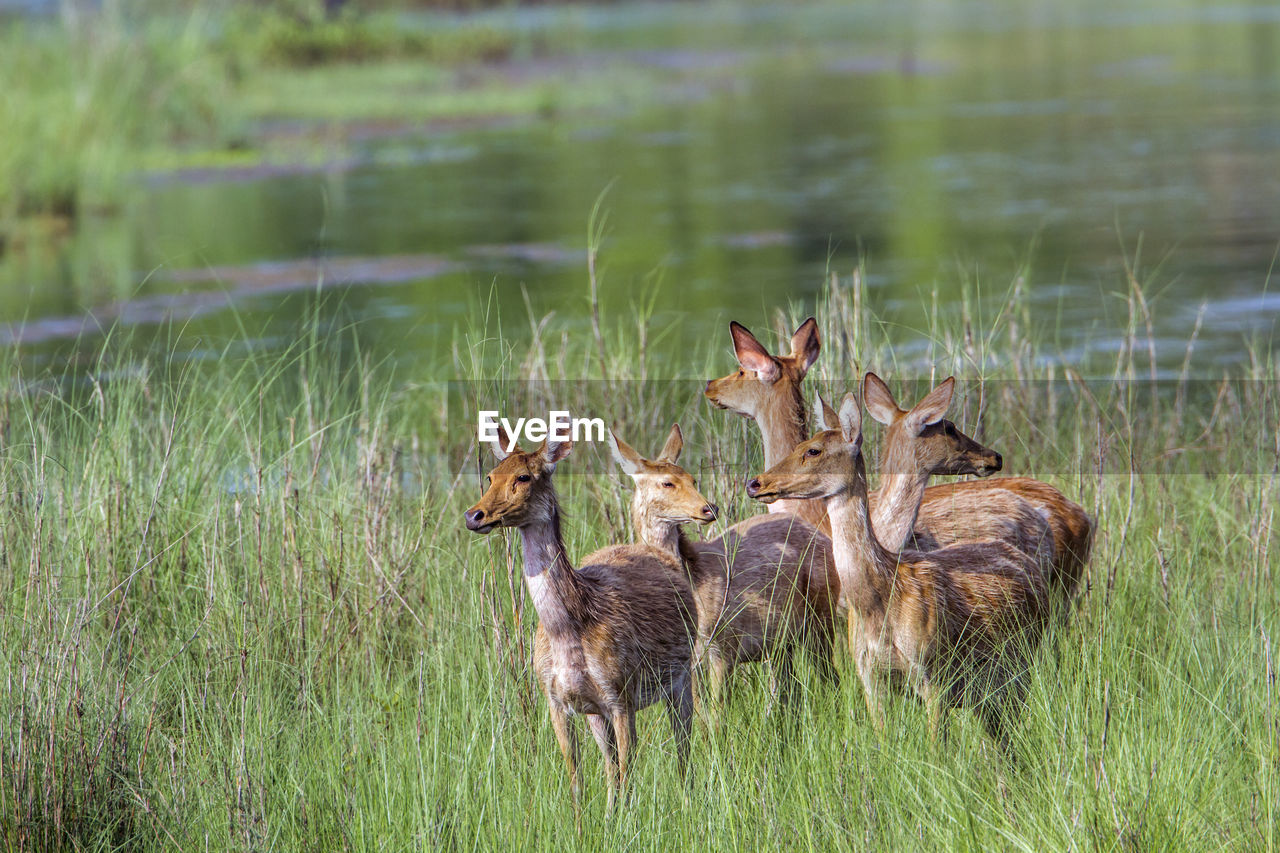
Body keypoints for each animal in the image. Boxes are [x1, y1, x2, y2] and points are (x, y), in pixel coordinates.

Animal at [463, 425, 696, 809]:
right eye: (490, 475)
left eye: (524, 476)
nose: (474, 515)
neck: (570, 629)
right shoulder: (558, 700)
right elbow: (578, 779)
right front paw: (585, 821)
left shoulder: (621, 693)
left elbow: (629, 774)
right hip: (597, 713)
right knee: (611, 768)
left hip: (683, 674)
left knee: (684, 748)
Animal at [609, 422, 839, 712]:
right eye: (667, 482)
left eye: (693, 479)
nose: (709, 508)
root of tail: (821, 535)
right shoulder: (690, 661)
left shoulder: (725, 645)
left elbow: (718, 713)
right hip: (782, 642)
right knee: (789, 689)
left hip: (822, 616)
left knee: (830, 677)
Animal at [747, 384, 1049, 753]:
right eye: (798, 446)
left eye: (813, 450)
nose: (756, 483)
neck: (879, 598)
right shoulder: (868, 676)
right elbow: (883, 738)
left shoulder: (934, 671)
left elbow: (936, 748)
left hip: (1022, 666)